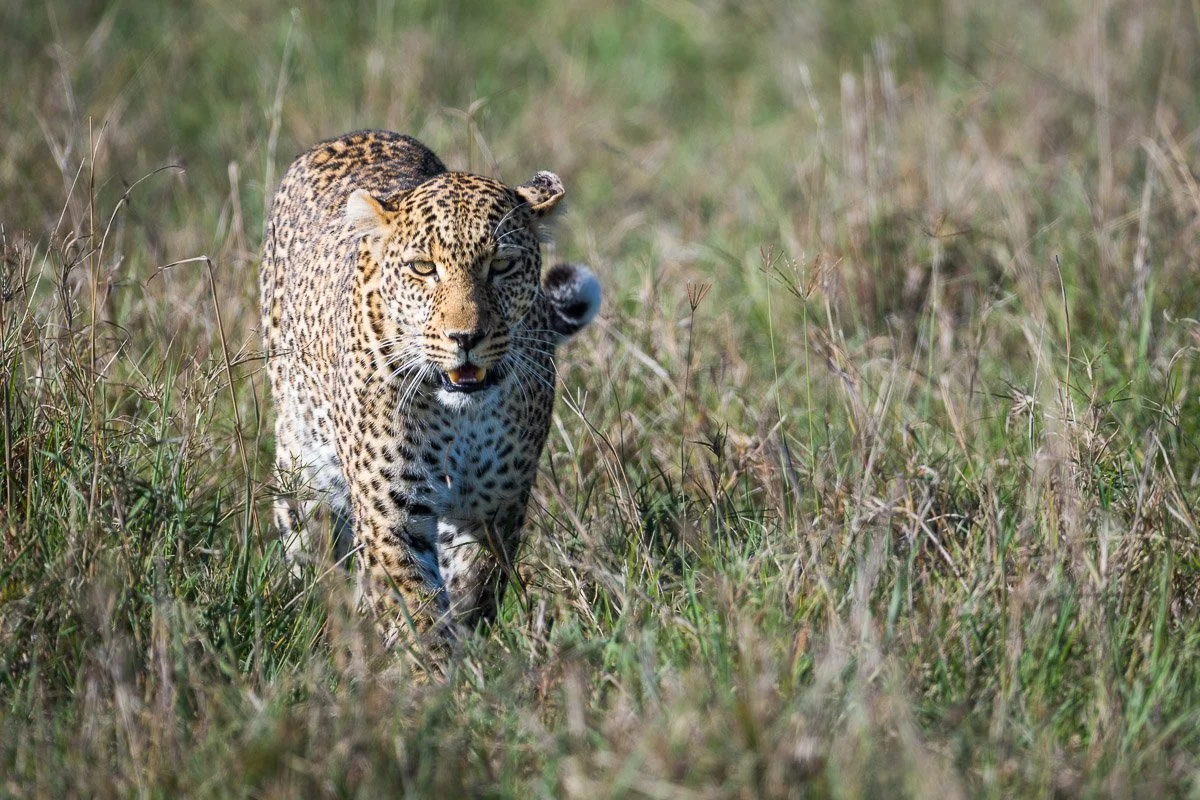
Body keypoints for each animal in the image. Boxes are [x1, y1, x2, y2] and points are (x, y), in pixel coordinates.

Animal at [260, 130, 601, 657]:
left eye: (501, 266)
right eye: (423, 268)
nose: (466, 337)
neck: (461, 416)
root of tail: (353, 134)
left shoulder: (494, 508)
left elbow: (472, 590)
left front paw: (468, 655)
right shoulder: (390, 515)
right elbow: (415, 612)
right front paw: (436, 672)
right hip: (300, 465)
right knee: (311, 545)